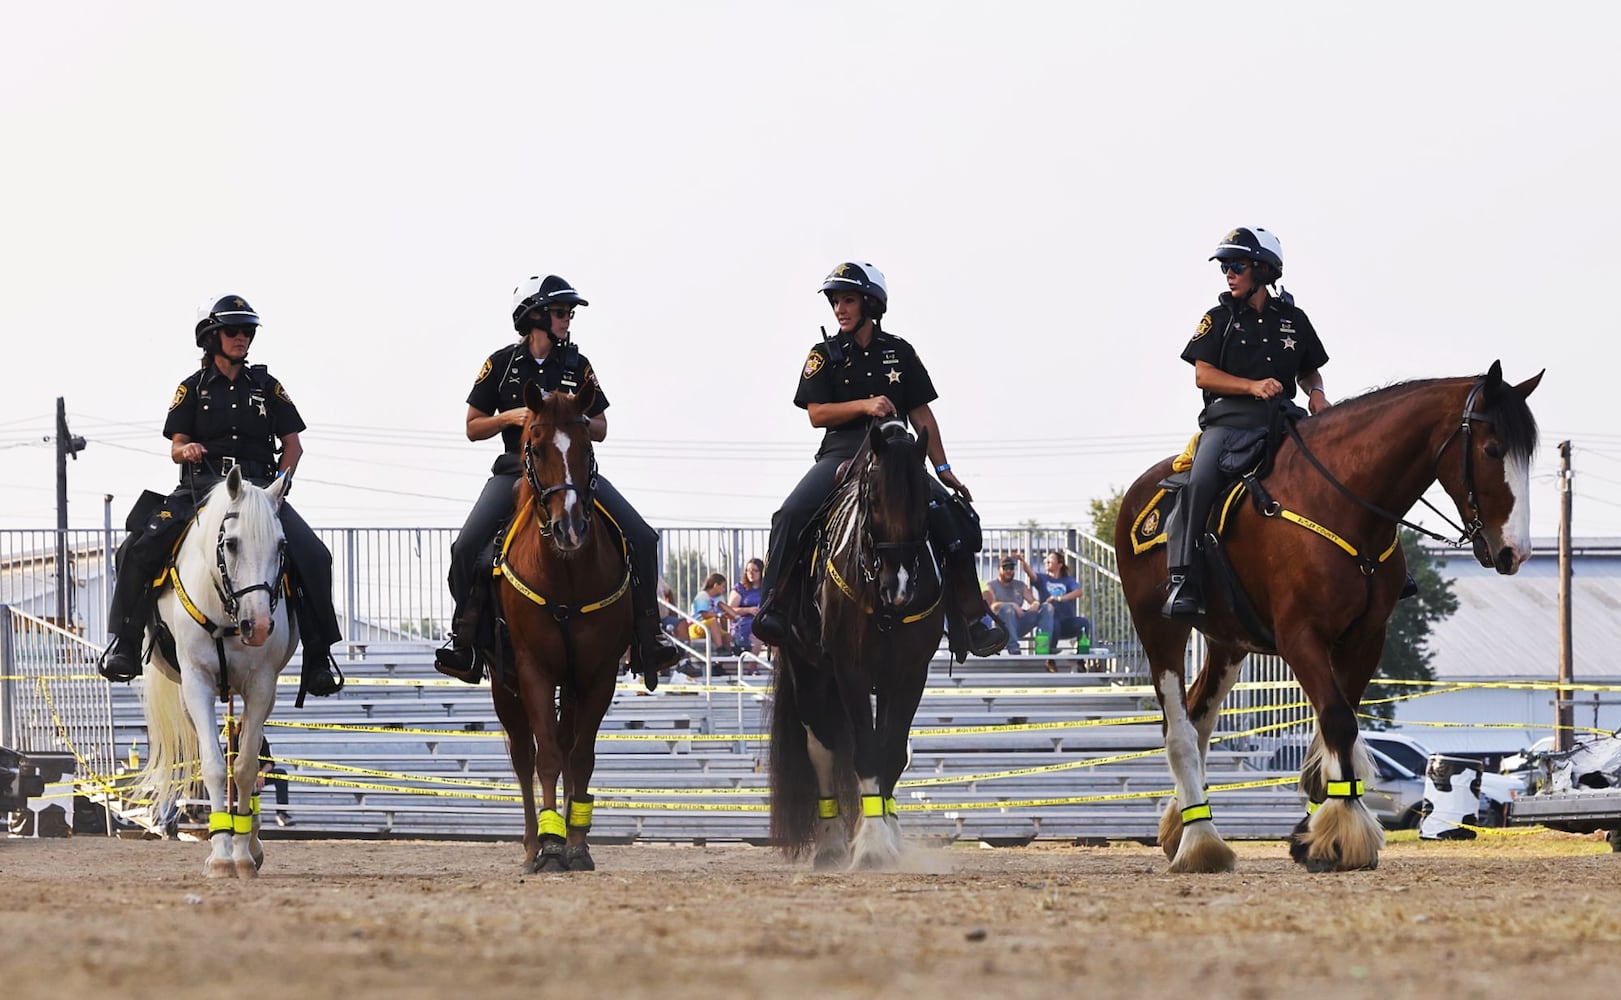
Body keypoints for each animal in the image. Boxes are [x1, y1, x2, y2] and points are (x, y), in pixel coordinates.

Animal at [134, 463, 296, 875]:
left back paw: (251, 843)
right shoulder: (197, 683)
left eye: (282, 546)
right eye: (232, 543)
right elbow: (212, 765)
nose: (258, 626)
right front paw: (221, 855)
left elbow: (247, 767)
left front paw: (242, 853)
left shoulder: (261, 685)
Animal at [486, 382, 632, 875]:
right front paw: (550, 848)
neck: (565, 573)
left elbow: (580, 757)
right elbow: (546, 756)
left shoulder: (598, 672)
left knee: (567, 746)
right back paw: (533, 844)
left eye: (587, 445)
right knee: (524, 756)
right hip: (505, 688)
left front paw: (577, 845)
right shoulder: (533, 668)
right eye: (535, 445)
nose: (570, 528)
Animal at [765, 418, 946, 868]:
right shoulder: (851, 670)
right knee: (823, 750)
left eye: (925, 502)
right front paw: (872, 845)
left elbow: (892, 752)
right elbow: (863, 752)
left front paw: (888, 834)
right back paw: (830, 843)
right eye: (874, 499)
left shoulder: (910, 672)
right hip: (809, 675)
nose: (899, 587)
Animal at [1115, 363, 1543, 868]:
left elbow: (1337, 725)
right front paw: (1343, 834)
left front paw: (1314, 831)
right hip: (1160, 630)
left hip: (1227, 642)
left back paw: (1182, 825)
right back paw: (1200, 841)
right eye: (1492, 449)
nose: (1515, 551)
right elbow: (1338, 720)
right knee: (1179, 730)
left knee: (1199, 720)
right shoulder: (1300, 636)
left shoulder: (1365, 638)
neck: (1341, 504)